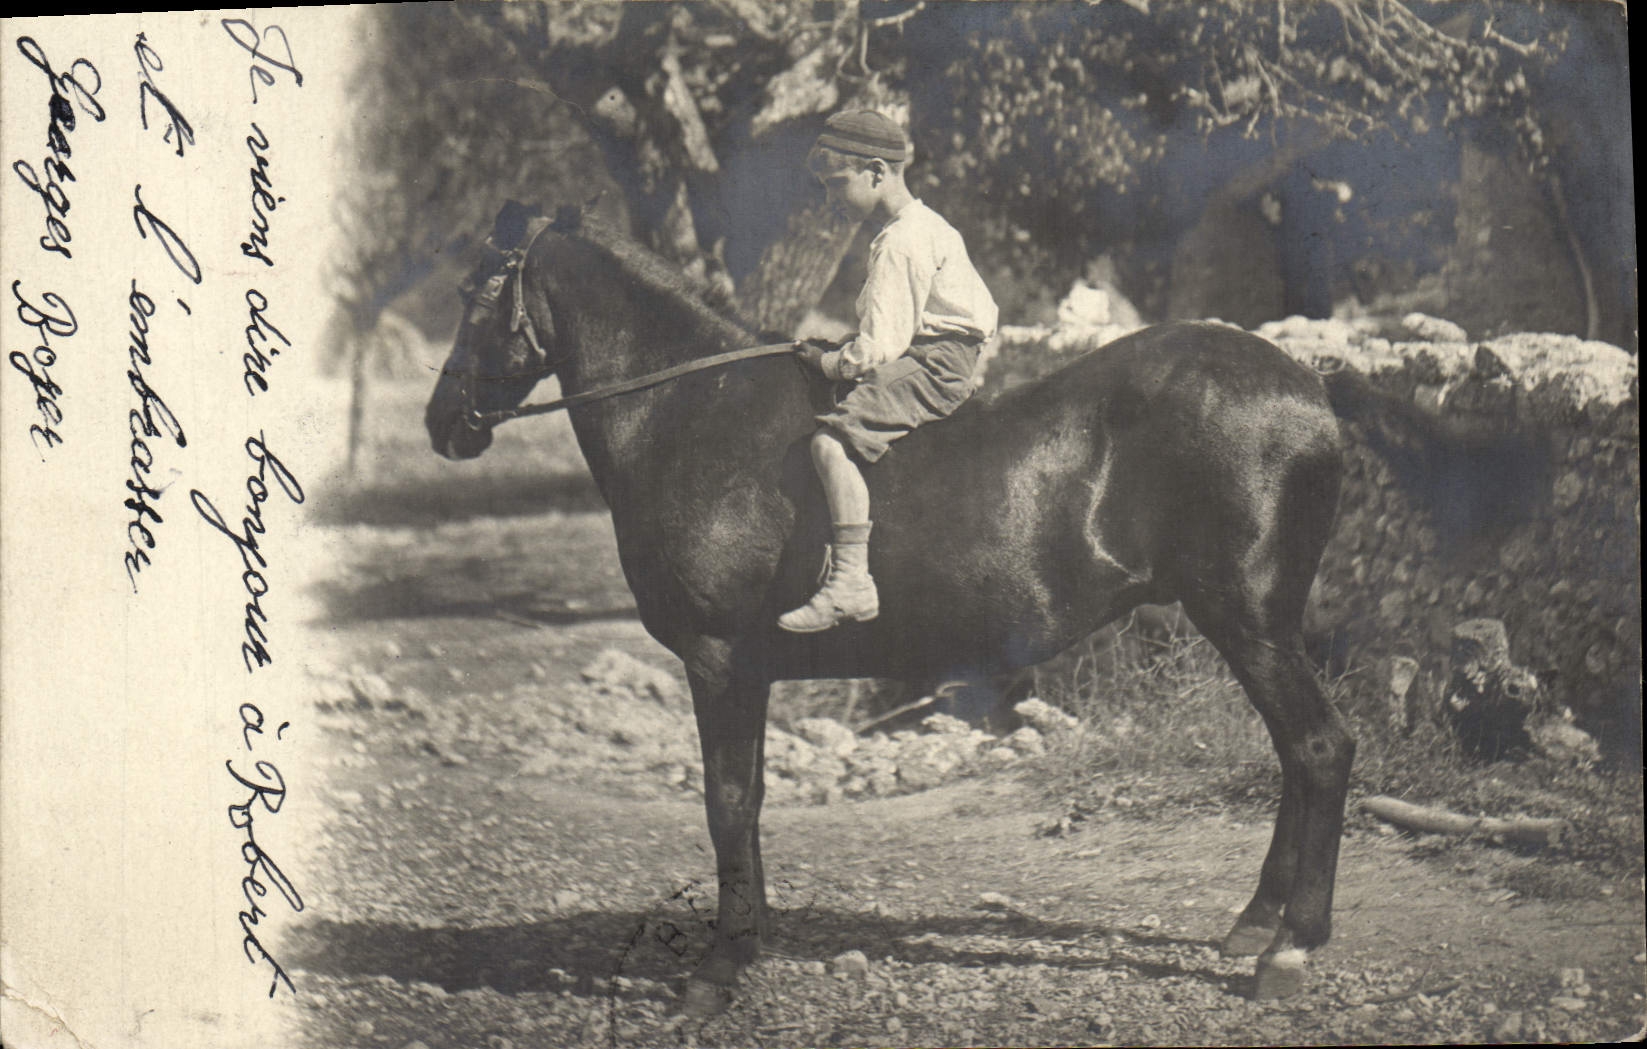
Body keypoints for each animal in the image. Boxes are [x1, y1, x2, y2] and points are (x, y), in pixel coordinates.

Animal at [424, 202, 1355, 1013]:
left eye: (475, 293)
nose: (443, 422)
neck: (691, 415)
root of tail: (1306, 385)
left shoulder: (718, 660)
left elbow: (726, 800)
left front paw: (718, 969)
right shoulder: (747, 672)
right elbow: (749, 800)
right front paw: (750, 941)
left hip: (1249, 624)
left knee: (1318, 748)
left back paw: (1289, 948)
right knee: (1294, 754)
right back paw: (1256, 925)